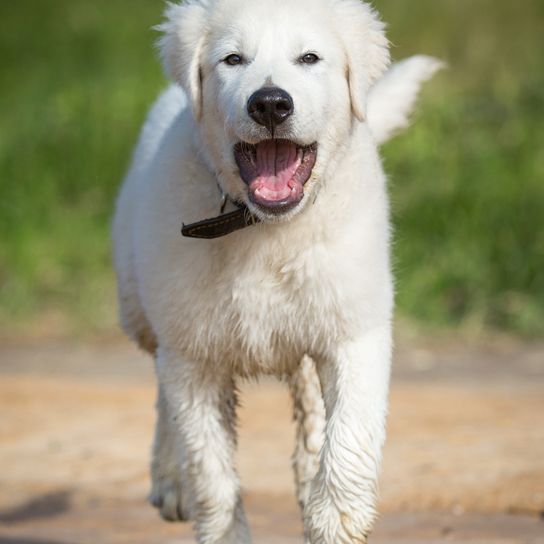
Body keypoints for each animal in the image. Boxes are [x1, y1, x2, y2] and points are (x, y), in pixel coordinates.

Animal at [112, 2, 440, 540]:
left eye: (309, 58)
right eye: (233, 59)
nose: (270, 104)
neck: (267, 228)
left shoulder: (355, 325)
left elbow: (350, 434)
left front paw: (335, 522)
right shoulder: (193, 353)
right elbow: (210, 469)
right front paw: (220, 522)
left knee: (311, 402)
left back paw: (309, 478)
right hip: (140, 305)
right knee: (162, 384)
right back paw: (171, 478)